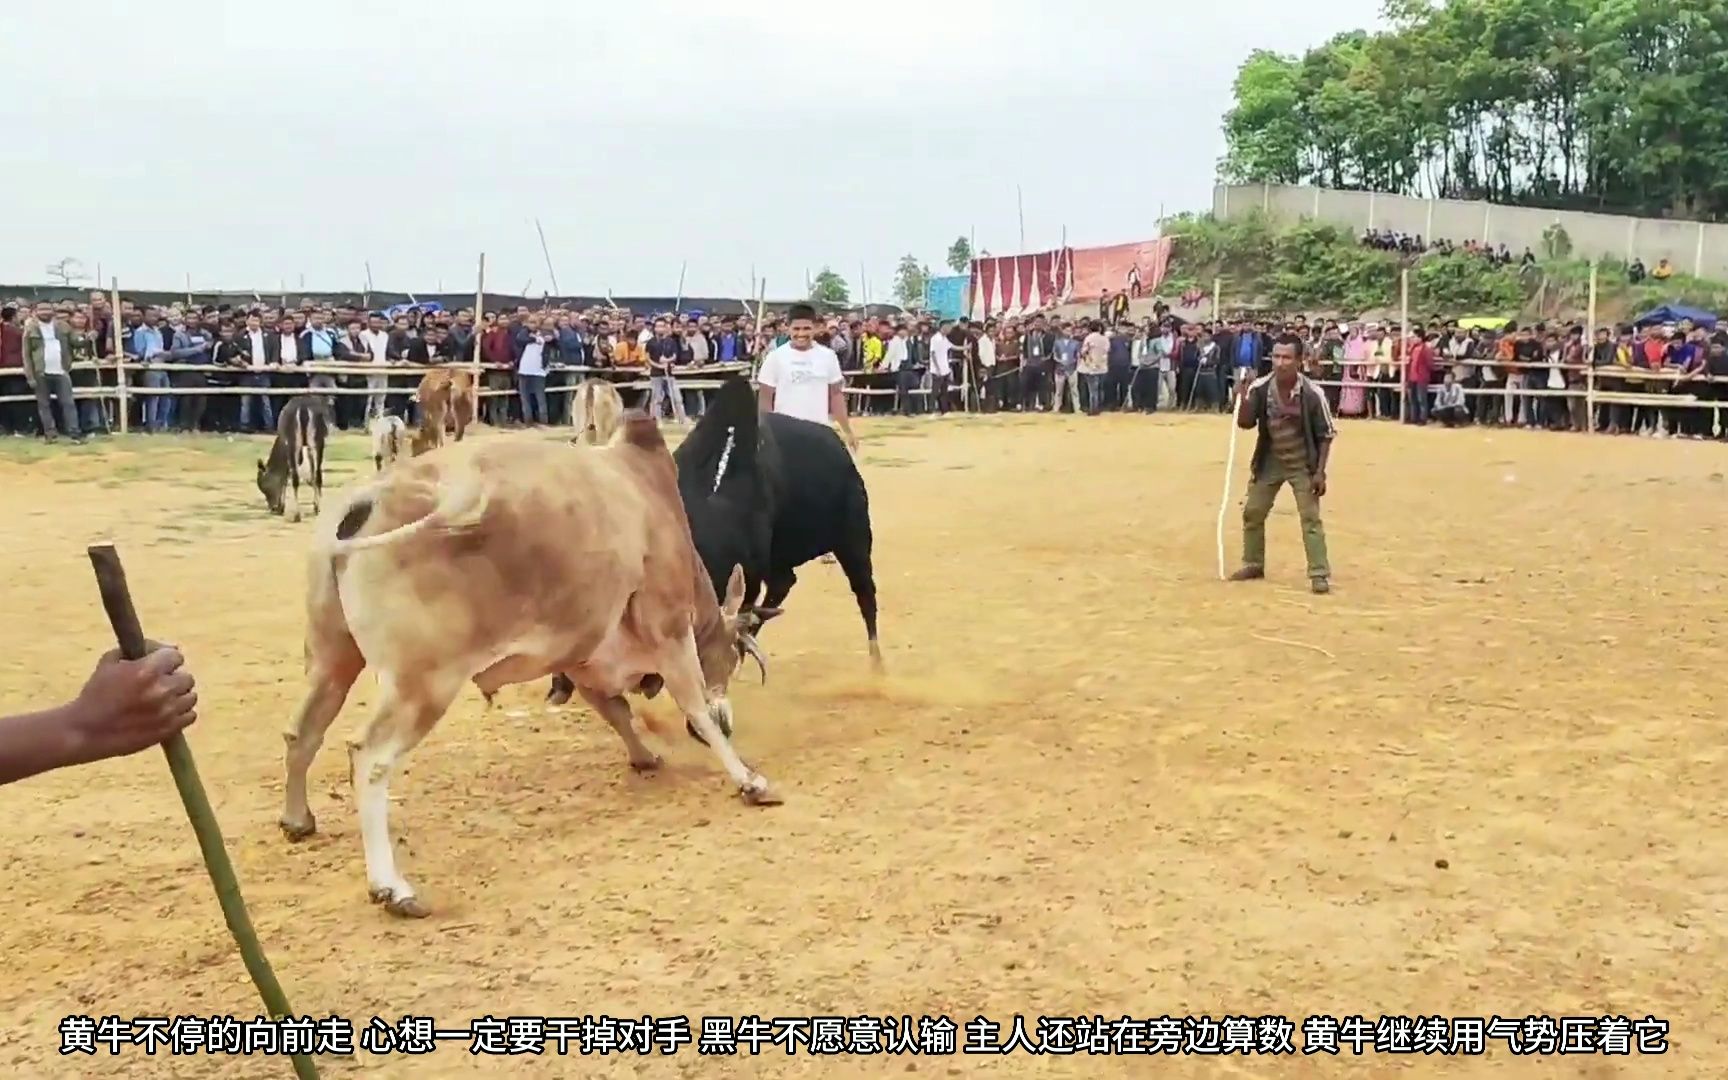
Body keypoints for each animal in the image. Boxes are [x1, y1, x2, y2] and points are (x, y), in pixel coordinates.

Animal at [549, 378, 884, 708]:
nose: (645, 681)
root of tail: (840, 449)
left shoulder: (749, 575)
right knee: (784, 584)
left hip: (854, 540)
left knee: (864, 594)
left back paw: (876, 663)